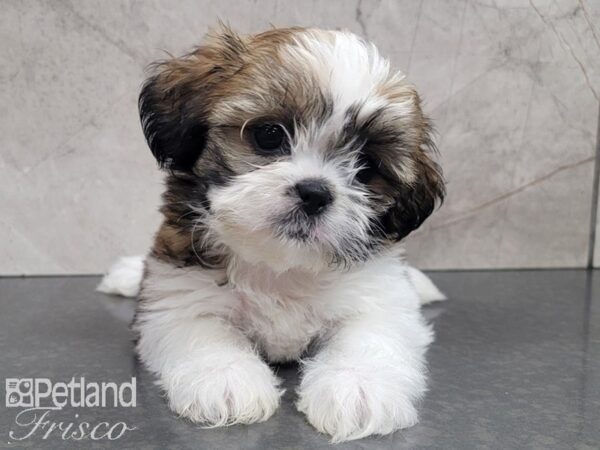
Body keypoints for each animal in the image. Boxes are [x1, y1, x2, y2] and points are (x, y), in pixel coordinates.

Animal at [99, 25, 446, 442]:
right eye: (268, 135)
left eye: (366, 167)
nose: (315, 192)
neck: (280, 265)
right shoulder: (178, 290)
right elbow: (202, 327)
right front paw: (226, 378)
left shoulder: (379, 298)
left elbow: (370, 334)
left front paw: (358, 385)